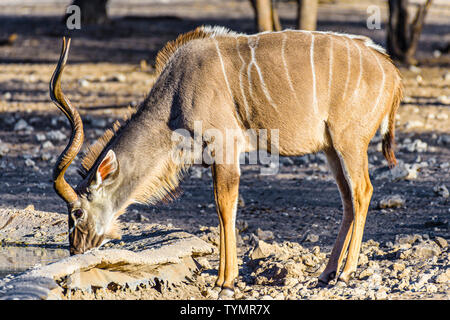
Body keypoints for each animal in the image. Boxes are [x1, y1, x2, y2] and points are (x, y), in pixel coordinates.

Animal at [50, 26, 404, 298]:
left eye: (77, 212)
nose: (76, 250)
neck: (176, 95)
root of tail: (391, 71)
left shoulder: (226, 150)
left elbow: (225, 207)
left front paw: (226, 282)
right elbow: (222, 209)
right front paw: (224, 278)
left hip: (349, 143)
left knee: (363, 192)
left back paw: (346, 273)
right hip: (332, 149)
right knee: (348, 200)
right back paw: (327, 273)